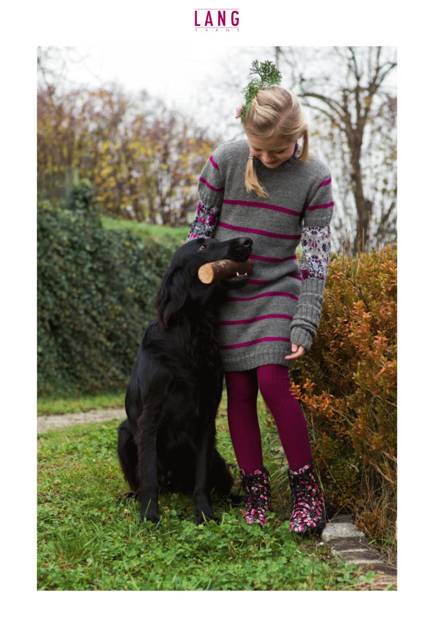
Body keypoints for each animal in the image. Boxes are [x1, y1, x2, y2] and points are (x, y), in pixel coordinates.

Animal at [117, 235, 253, 524]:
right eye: (202, 246)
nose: (247, 240)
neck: (192, 331)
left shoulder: (206, 418)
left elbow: (201, 479)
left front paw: (204, 514)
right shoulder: (150, 416)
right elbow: (148, 476)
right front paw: (149, 515)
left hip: (217, 459)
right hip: (124, 435)